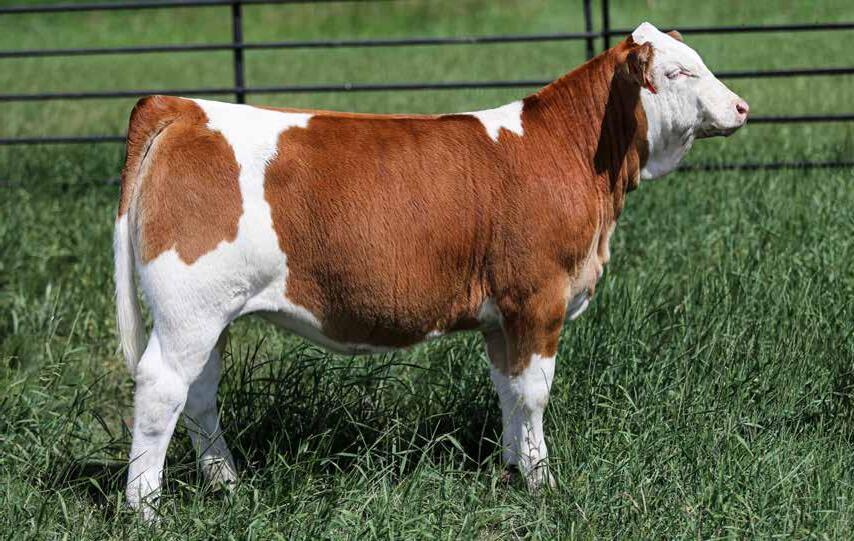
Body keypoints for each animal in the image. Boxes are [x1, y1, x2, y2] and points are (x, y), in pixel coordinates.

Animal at [114, 22, 748, 517]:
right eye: (680, 73)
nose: (742, 107)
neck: (569, 151)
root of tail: (183, 108)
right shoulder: (538, 298)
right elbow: (534, 394)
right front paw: (543, 484)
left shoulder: (501, 316)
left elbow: (507, 390)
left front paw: (511, 472)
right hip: (189, 310)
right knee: (161, 390)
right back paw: (147, 509)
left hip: (210, 315)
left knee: (199, 395)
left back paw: (227, 485)